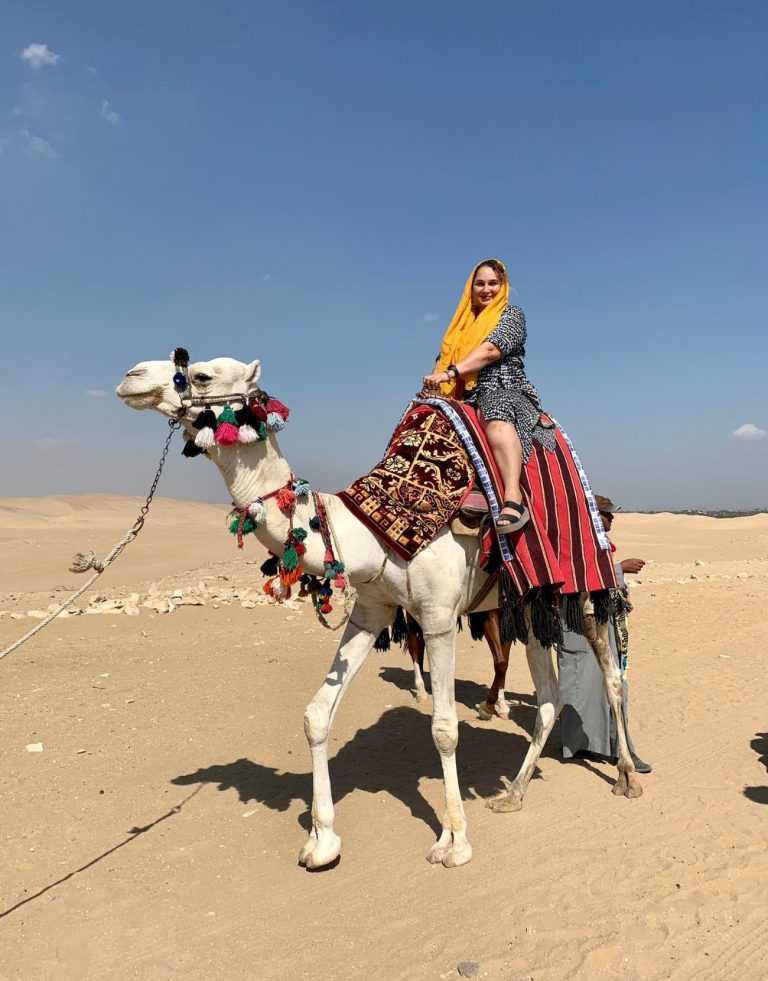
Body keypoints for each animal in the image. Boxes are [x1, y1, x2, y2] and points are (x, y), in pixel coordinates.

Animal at [117, 355, 641, 870]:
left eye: (200, 374)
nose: (130, 377)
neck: (369, 531)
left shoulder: (438, 617)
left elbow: (444, 728)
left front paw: (454, 841)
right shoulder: (371, 610)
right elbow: (316, 714)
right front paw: (322, 842)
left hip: (584, 588)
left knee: (612, 677)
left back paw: (627, 775)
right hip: (529, 605)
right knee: (550, 699)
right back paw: (512, 793)